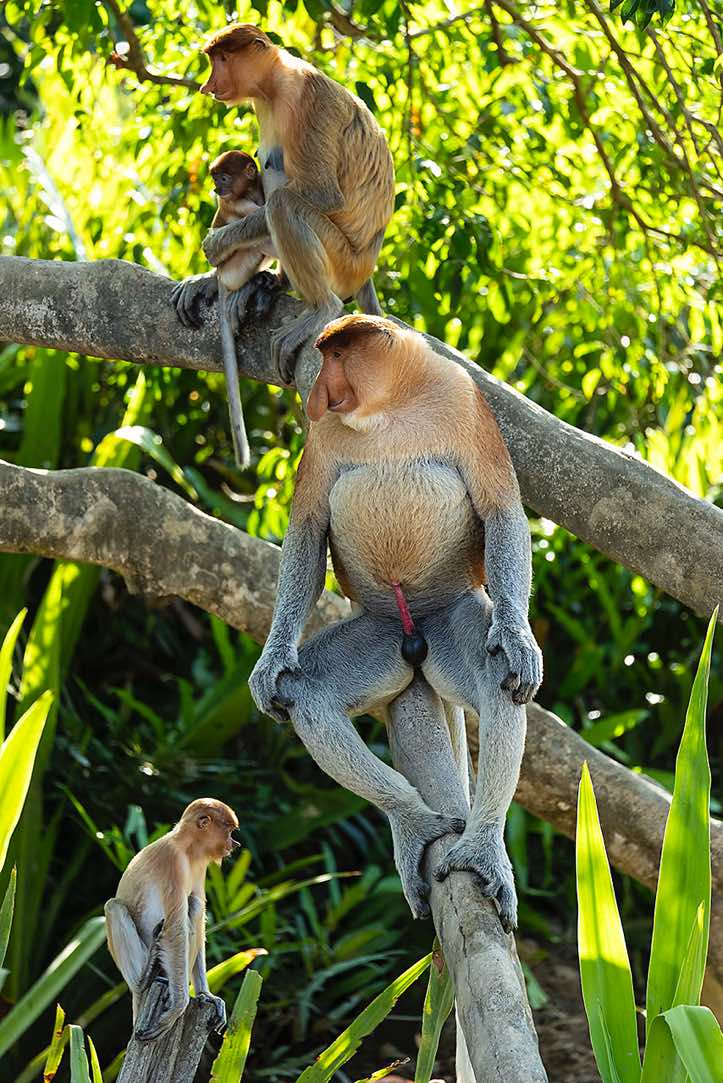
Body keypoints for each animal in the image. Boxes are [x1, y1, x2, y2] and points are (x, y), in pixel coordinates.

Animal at [104, 798, 240, 1041]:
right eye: (229, 830)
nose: (235, 843)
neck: (187, 848)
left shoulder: (200, 865)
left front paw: (207, 995)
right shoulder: (172, 861)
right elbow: (175, 928)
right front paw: (178, 1005)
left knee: (194, 905)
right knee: (114, 907)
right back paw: (143, 980)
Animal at [172, 24, 395, 385]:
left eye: (222, 58)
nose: (207, 86)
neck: (275, 82)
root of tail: (366, 268)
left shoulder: (307, 99)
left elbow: (322, 194)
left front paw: (218, 244)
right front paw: (205, 279)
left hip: (343, 262)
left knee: (283, 203)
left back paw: (321, 306)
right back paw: (269, 283)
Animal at [248, 316, 542, 932]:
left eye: (337, 356)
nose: (318, 394)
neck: (391, 408)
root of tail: (412, 632)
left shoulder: (466, 403)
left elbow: (502, 510)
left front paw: (520, 638)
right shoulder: (323, 438)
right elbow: (307, 528)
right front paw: (270, 664)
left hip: (448, 616)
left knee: (498, 674)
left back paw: (483, 847)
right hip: (380, 633)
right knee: (308, 693)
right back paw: (412, 820)